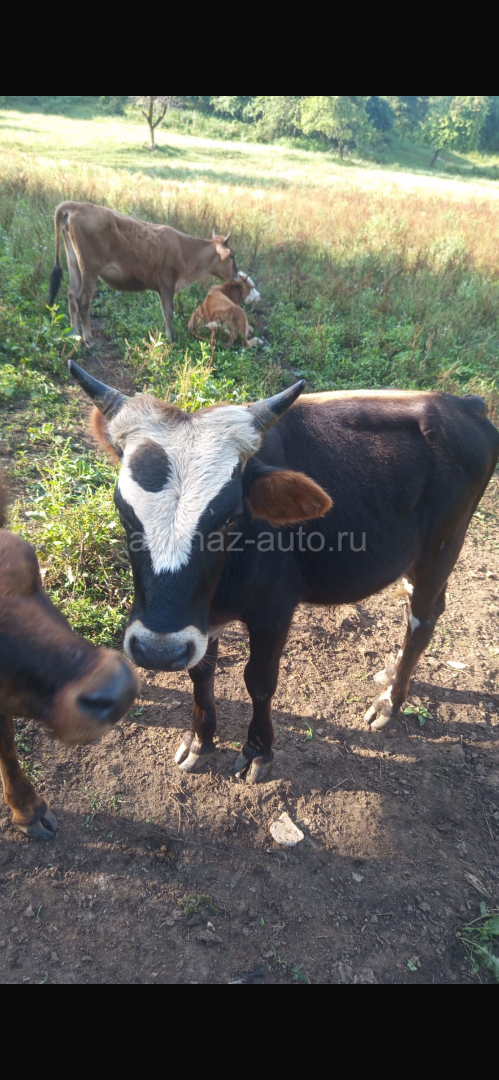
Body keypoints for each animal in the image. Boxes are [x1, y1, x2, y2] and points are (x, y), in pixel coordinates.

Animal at [48, 201, 239, 345]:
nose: (238, 275)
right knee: (83, 300)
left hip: (74, 263)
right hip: (89, 268)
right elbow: (168, 312)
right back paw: (88, 339)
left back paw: (75, 334)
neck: (184, 251)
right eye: (232, 255)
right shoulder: (166, 284)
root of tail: (77, 205)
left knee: (72, 296)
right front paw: (171, 339)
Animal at [69, 360, 499, 783]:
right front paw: (201, 741)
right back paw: (391, 674)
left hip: (442, 549)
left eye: (229, 518)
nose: (158, 651)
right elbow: (201, 673)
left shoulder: (274, 610)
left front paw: (258, 751)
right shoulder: (201, 622)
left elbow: (259, 682)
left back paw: (390, 702)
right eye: (125, 514)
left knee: (422, 618)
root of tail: (463, 403)